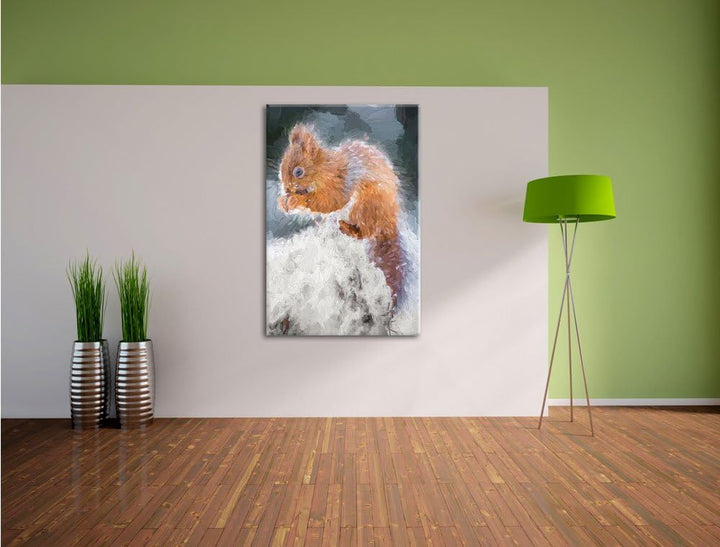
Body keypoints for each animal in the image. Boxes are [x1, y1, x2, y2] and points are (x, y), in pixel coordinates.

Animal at [277, 124, 405, 308]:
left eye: (298, 172)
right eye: (281, 167)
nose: (286, 188)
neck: (323, 169)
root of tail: (389, 222)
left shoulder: (340, 183)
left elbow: (329, 202)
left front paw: (295, 199)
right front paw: (283, 201)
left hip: (365, 206)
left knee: (366, 232)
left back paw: (347, 228)